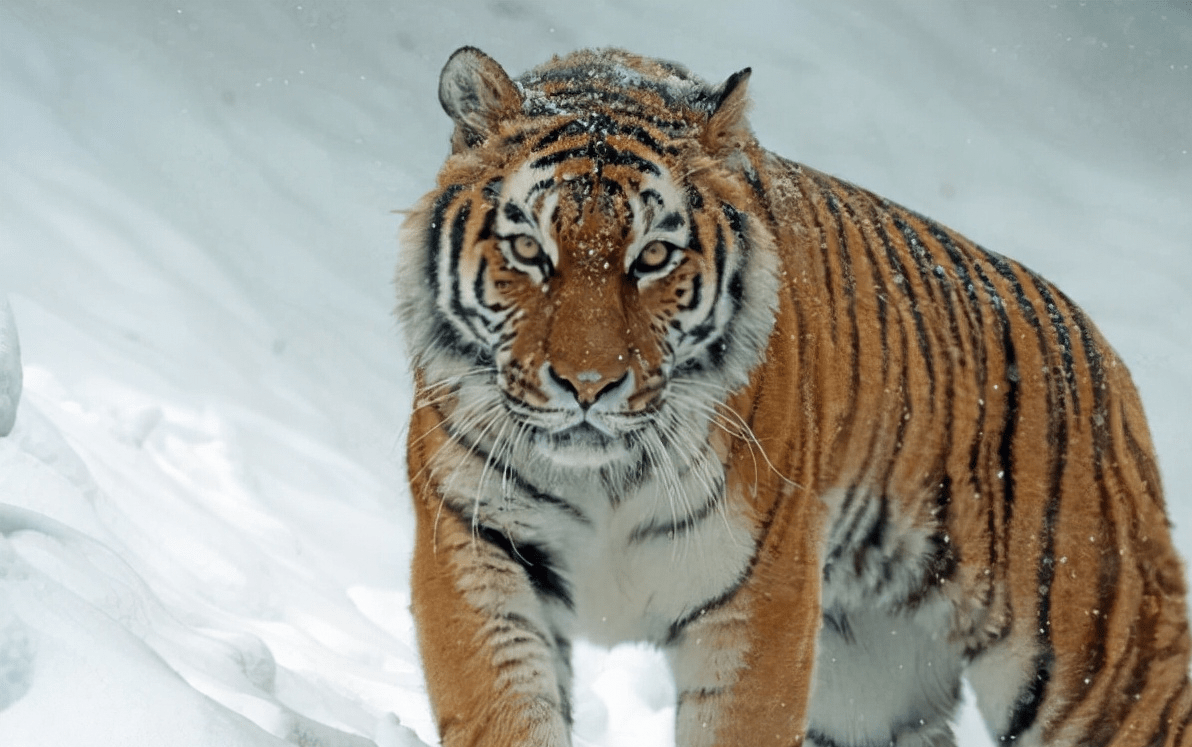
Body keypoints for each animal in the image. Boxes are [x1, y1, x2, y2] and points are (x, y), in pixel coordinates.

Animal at [393, 46, 1192, 747]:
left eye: (653, 256)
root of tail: (1107, 360)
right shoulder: (476, 545)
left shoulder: (759, 597)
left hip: (1099, 667)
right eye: (529, 249)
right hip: (871, 687)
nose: (588, 386)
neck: (604, 477)